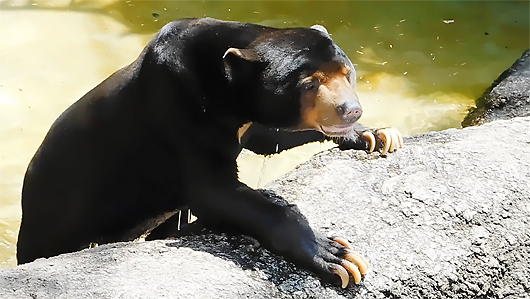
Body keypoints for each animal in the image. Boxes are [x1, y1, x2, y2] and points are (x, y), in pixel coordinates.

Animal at [16, 18, 400, 288]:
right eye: (309, 84)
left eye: (347, 73)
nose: (351, 110)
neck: (226, 90)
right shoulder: (177, 107)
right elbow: (213, 190)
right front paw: (338, 257)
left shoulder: (244, 118)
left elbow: (267, 138)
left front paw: (377, 135)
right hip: (57, 212)